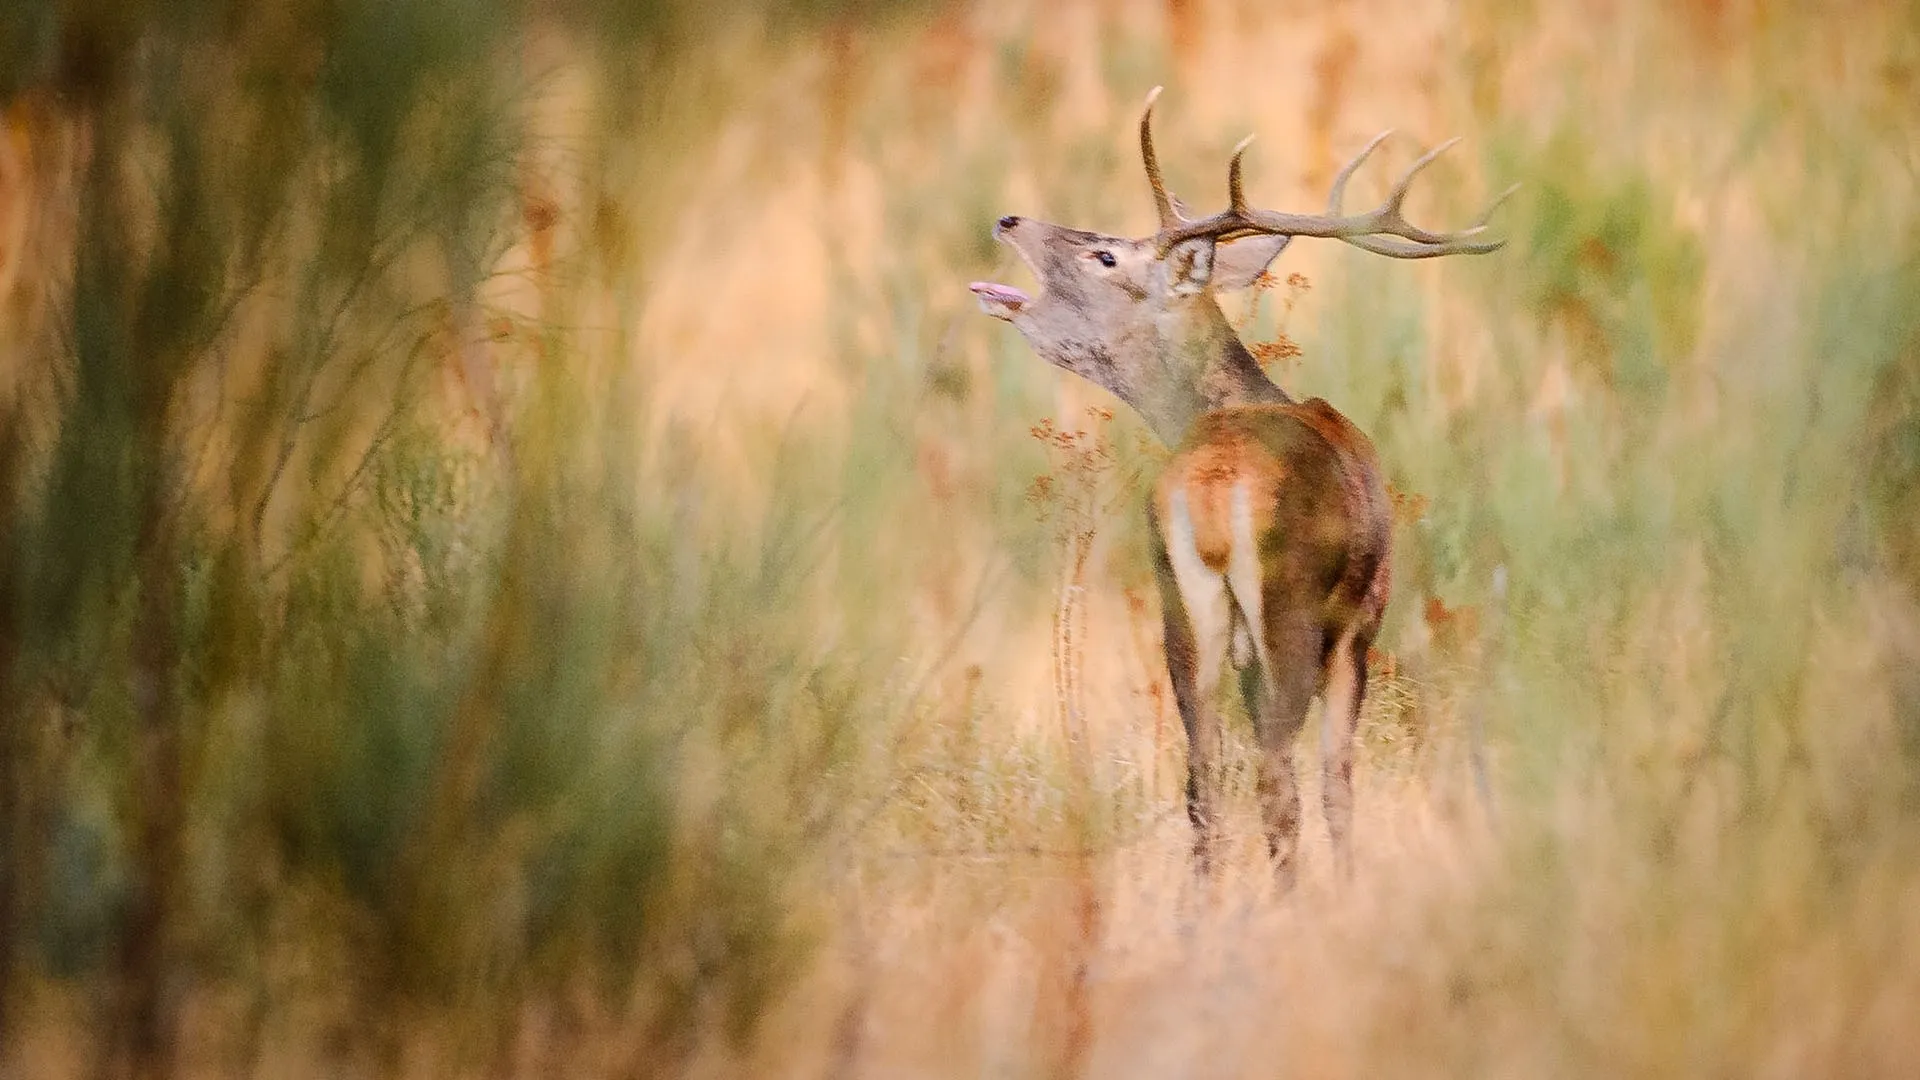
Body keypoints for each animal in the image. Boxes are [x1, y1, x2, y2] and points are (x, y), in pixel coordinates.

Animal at [971, 89, 1510, 879]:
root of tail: (1213, 488)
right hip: (1289, 612)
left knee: (1203, 782)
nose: (1008, 219)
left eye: (1106, 254)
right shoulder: (1362, 619)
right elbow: (1339, 781)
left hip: (1182, 607)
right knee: (1278, 777)